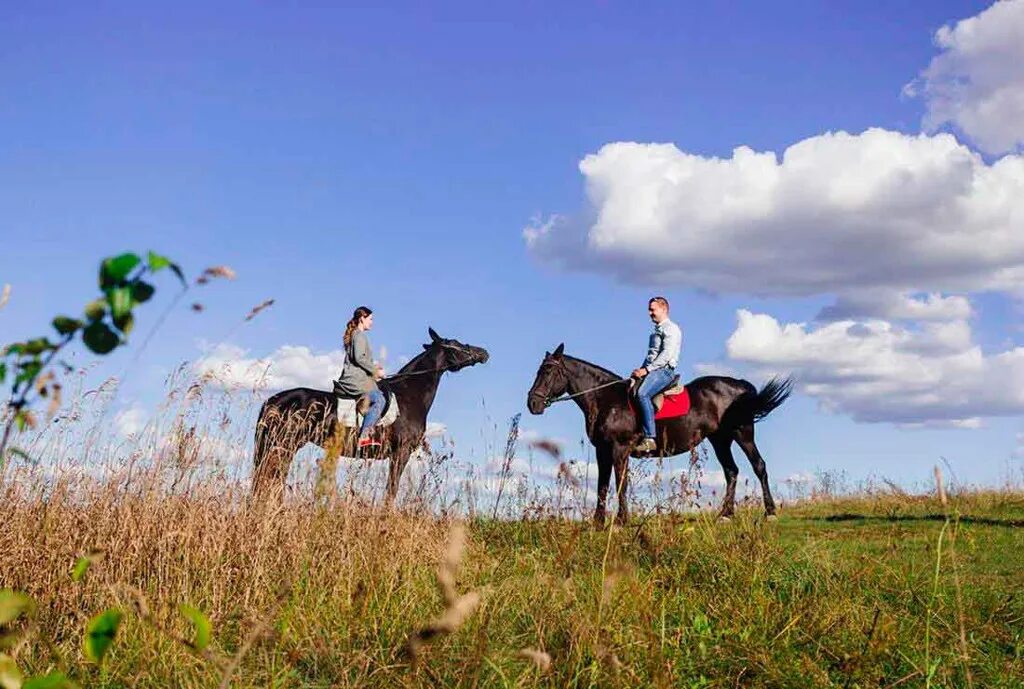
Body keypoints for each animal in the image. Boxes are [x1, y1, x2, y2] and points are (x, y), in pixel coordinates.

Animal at [249, 329, 485, 499]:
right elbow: (392, 489)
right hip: (282, 446)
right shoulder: (401, 452)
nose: (484, 353)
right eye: (456, 344)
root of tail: (274, 400)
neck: (409, 394)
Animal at [528, 343, 790, 528]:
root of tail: (740, 386)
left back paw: (770, 513)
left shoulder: (619, 449)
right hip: (719, 439)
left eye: (548, 370)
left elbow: (620, 484)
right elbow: (602, 485)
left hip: (742, 434)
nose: (532, 404)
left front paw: (622, 521)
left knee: (758, 466)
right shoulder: (602, 450)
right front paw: (598, 523)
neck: (605, 400)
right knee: (731, 472)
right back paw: (725, 515)